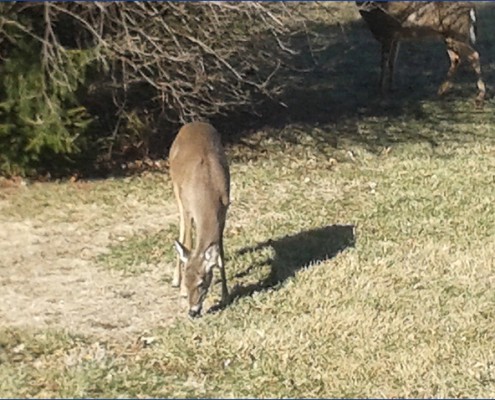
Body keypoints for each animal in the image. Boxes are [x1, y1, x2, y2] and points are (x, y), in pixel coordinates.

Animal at [169, 120, 231, 318]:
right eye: (188, 283)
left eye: (202, 282)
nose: (192, 312)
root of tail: (191, 123)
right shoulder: (189, 209)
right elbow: (188, 242)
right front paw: (181, 288)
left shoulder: (224, 209)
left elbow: (220, 251)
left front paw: (225, 294)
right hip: (176, 191)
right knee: (181, 228)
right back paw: (174, 279)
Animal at [356, 1, 488, 107]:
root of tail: (471, 7)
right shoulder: (396, 38)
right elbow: (392, 62)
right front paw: (391, 87)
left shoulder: (387, 35)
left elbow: (383, 63)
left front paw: (381, 90)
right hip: (448, 37)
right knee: (456, 58)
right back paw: (441, 91)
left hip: (457, 34)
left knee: (474, 55)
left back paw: (479, 98)